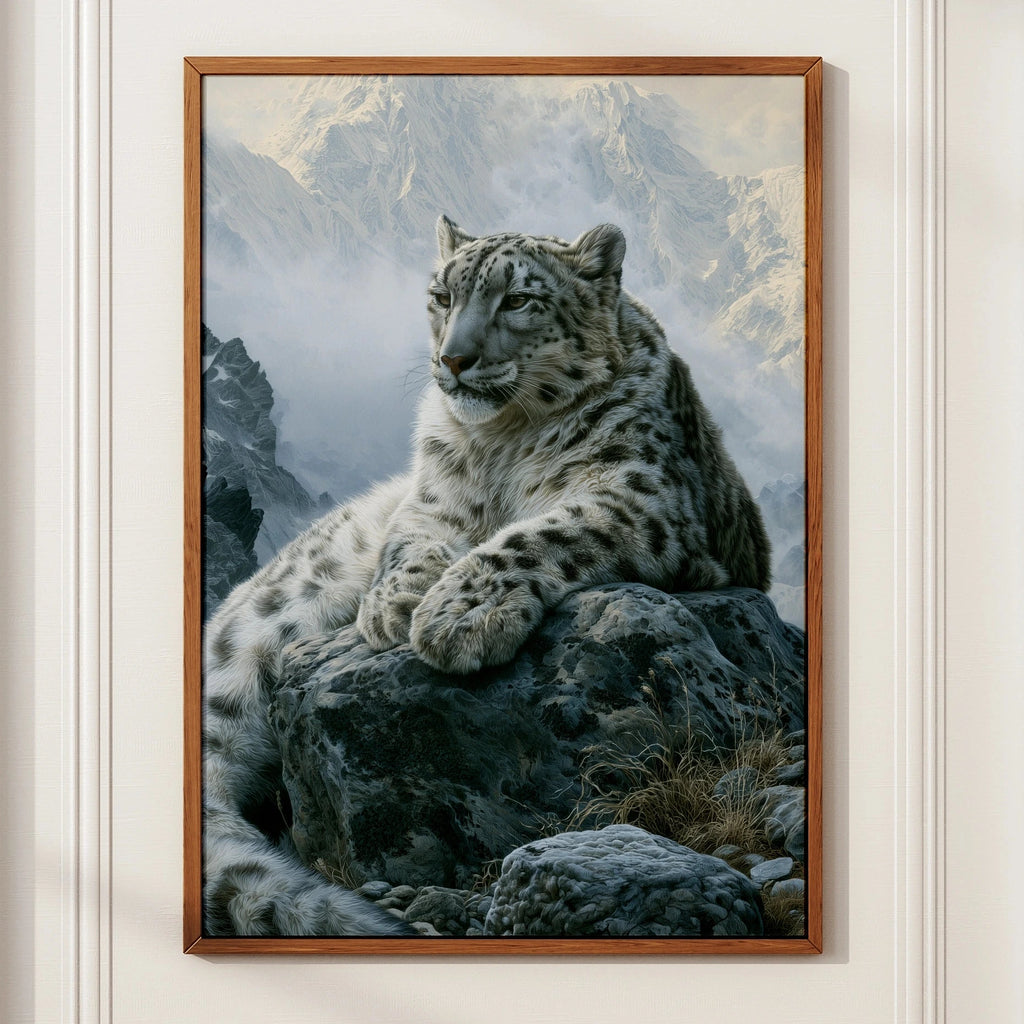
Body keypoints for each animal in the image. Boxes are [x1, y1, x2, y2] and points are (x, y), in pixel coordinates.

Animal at [201, 215, 771, 937]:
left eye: (518, 300)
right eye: (442, 296)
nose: (454, 359)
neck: (501, 441)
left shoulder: (642, 499)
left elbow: (541, 531)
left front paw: (458, 617)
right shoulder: (429, 499)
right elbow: (407, 539)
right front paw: (394, 604)